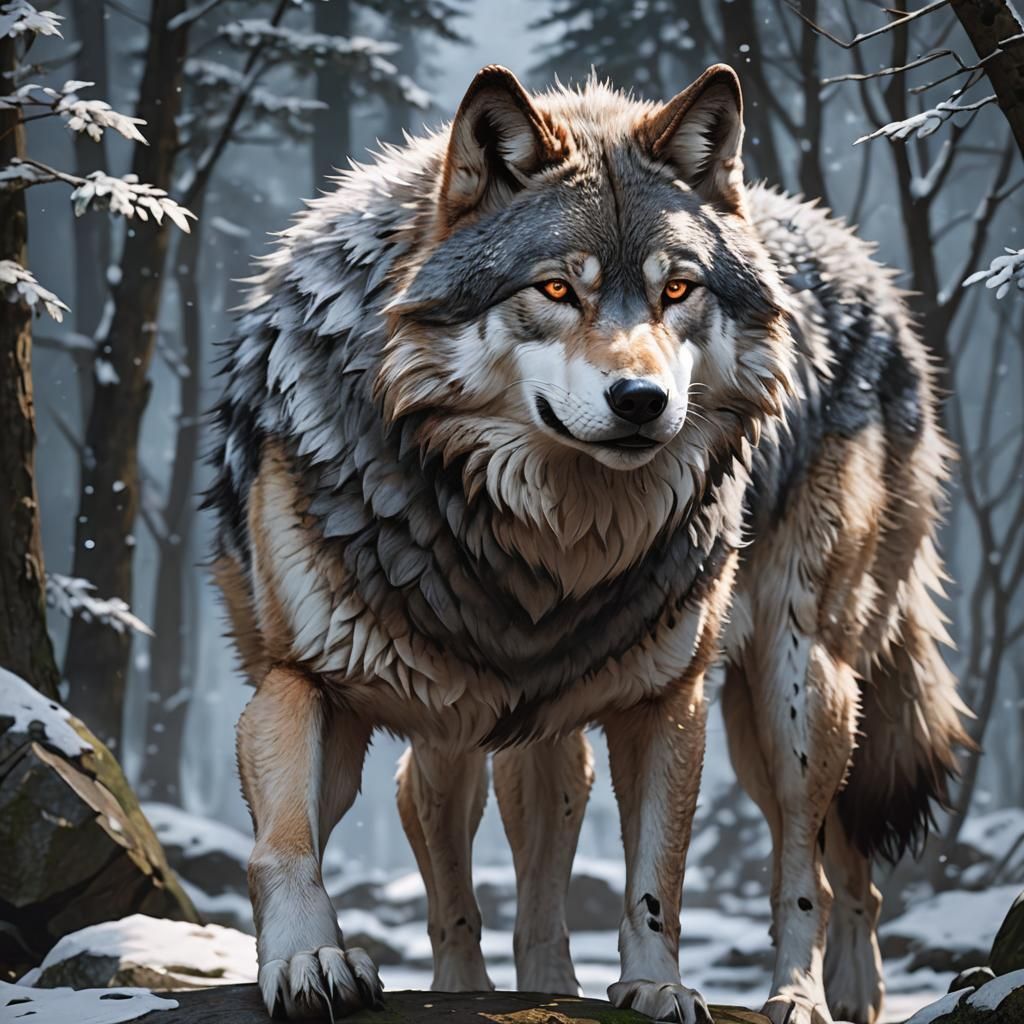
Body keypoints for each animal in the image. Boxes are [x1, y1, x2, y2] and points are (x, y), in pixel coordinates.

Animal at [206, 63, 971, 1024]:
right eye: (556, 290)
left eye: (677, 291)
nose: (642, 400)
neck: (543, 540)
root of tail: (870, 269)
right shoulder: (303, 679)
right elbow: (286, 840)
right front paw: (310, 961)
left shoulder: (665, 699)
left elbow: (659, 874)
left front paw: (657, 986)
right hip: (487, 714)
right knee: (461, 834)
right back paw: (502, 986)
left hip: (796, 685)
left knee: (817, 864)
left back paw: (808, 996)